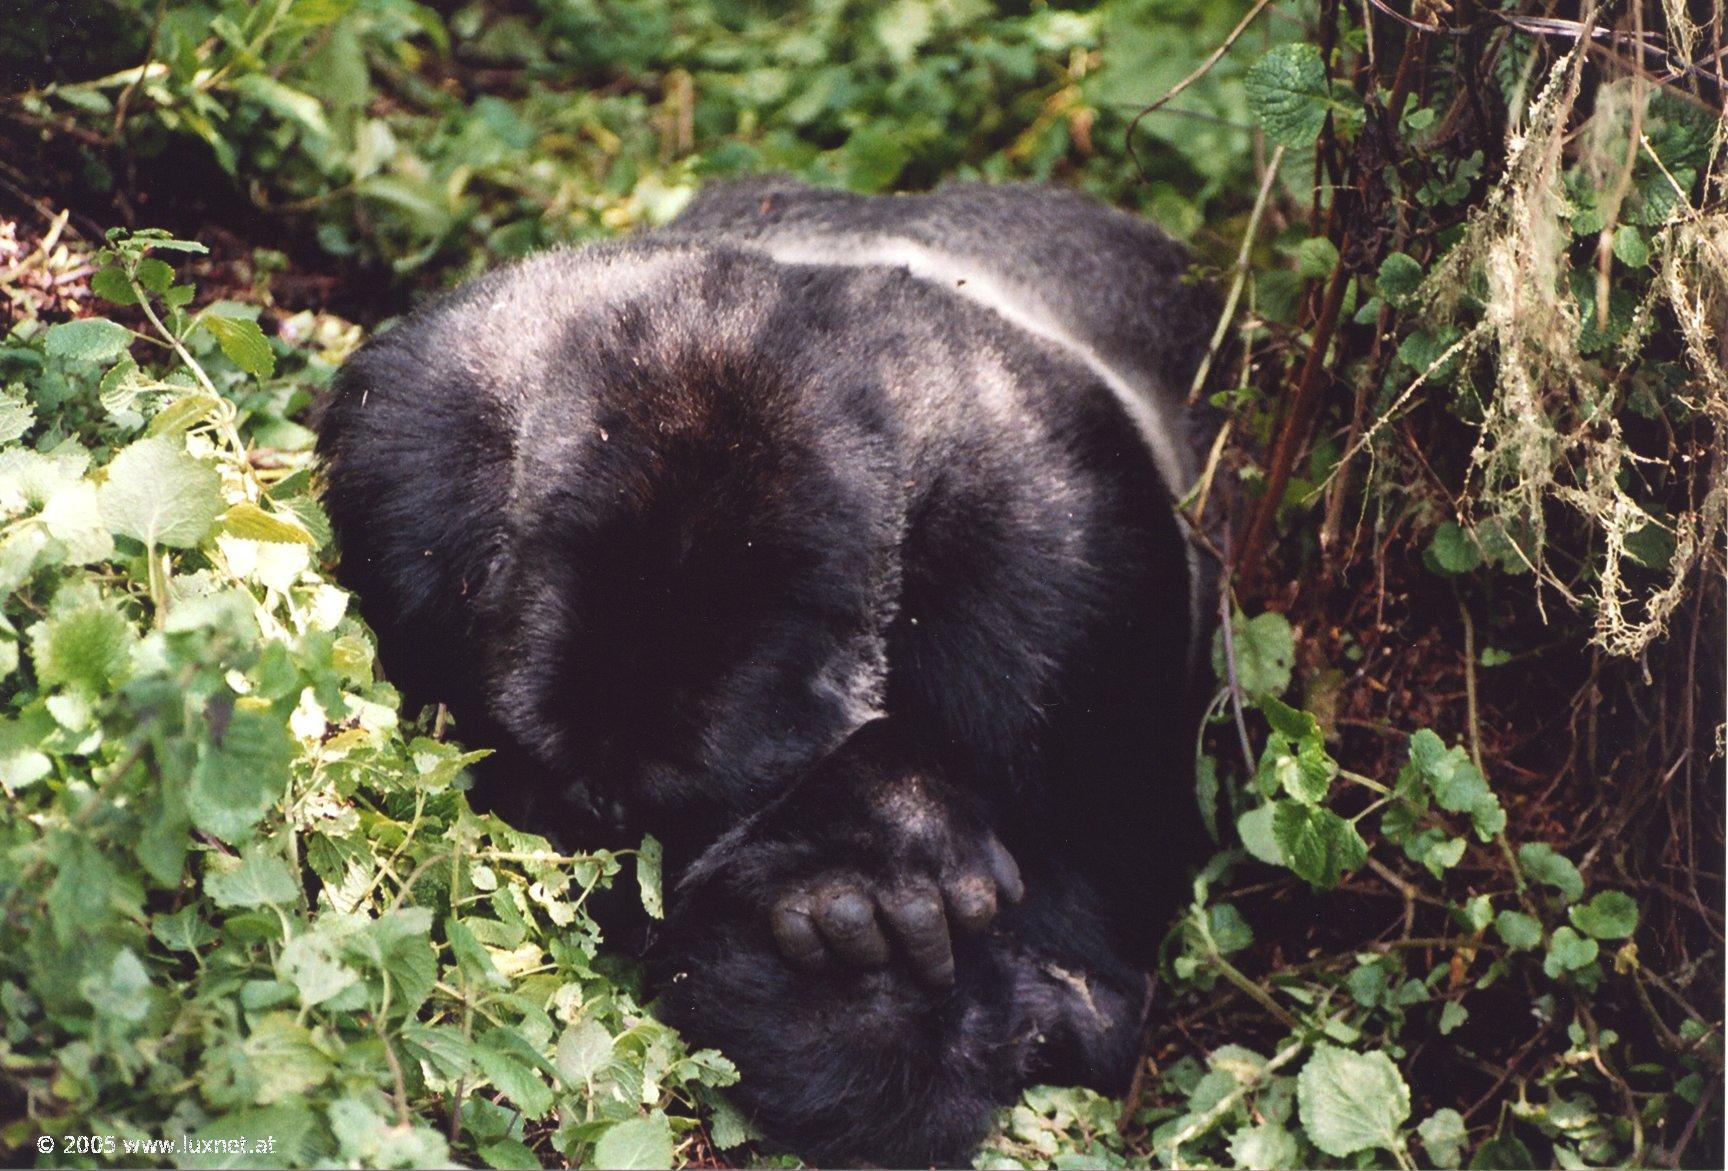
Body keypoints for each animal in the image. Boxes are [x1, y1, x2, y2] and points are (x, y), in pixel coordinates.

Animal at [321, 178, 1216, 1167]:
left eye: (673, 817)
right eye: (573, 805)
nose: (603, 848)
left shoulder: (1073, 576)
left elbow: (1092, 978)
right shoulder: (416, 443)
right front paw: (867, 853)